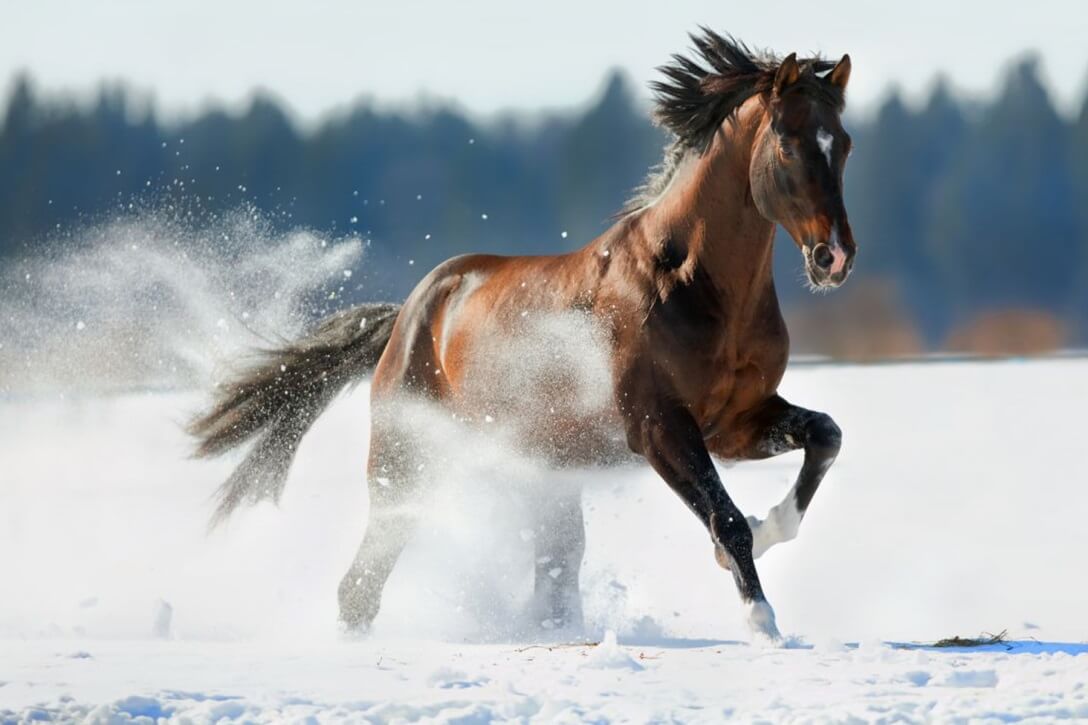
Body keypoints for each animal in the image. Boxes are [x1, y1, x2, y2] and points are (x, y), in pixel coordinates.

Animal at [189, 28, 857, 640]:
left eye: (844, 143)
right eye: (788, 144)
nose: (834, 257)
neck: (689, 282)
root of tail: (408, 316)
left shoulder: (735, 423)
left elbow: (825, 436)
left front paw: (771, 533)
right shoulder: (658, 428)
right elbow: (726, 519)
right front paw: (762, 622)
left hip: (544, 475)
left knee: (552, 573)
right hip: (407, 465)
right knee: (362, 582)